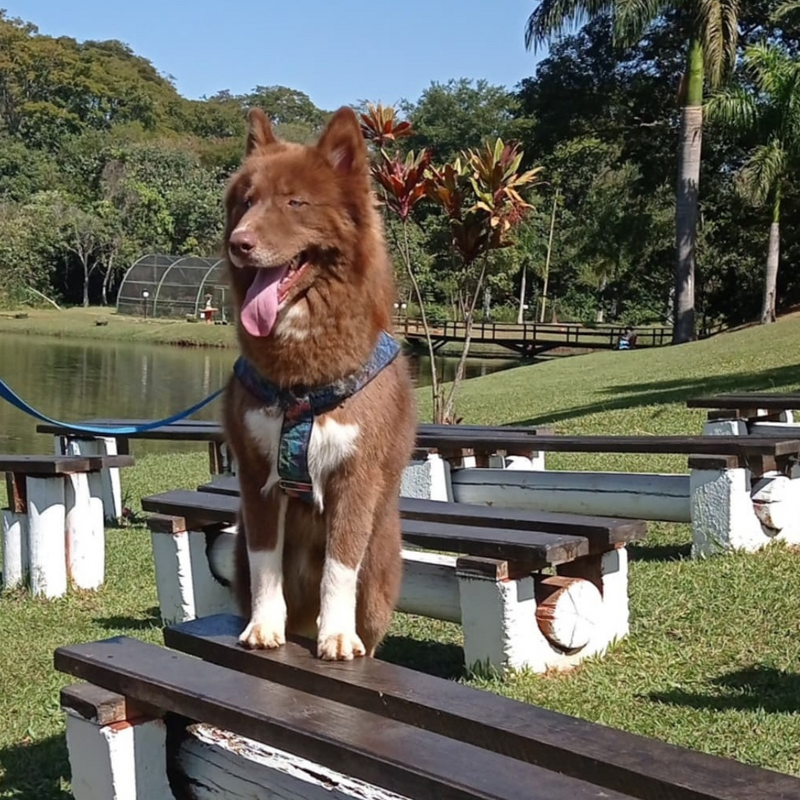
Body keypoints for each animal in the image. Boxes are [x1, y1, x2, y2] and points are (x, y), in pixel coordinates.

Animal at [220, 106, 416, 664]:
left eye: (295, 202)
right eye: (246, 201)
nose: (239, 243)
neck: (302, 382)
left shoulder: (356, 474)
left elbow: (339, 567)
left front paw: (337, 635)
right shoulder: (256, 474)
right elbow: (266, 562)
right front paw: (264, 627)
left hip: (380, 574)